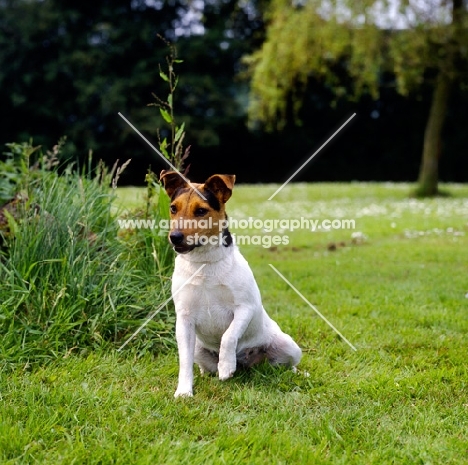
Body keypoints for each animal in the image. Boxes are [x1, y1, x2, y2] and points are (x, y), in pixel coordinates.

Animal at [159, 169, 302, 396]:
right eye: (173, 208)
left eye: (201, 211)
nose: (175, 237)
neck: (205, 263)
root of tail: (246, 364)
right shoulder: (184, 319)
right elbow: (184, 361)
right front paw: (184, 391)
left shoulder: (245, 308)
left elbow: (228, 336)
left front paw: (226, 366)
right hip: (199, 348)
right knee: (203, 365)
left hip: (288, 345)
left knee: (285, 364)